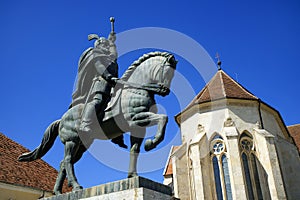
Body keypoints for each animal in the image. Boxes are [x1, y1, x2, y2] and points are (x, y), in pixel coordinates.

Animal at [18, 51, 176, 194]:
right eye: (168, 72)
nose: (165, 91)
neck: (134, 90)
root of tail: (61, 119)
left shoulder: (138, 128)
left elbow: (135, 150)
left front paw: (133, 175)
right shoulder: (137, 117)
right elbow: (163, 118)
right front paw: (152, 143)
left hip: (82, 145)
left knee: (64, 163)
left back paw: (57, 192)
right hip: (72, 141)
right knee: (68, 161)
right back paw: (76, 186)